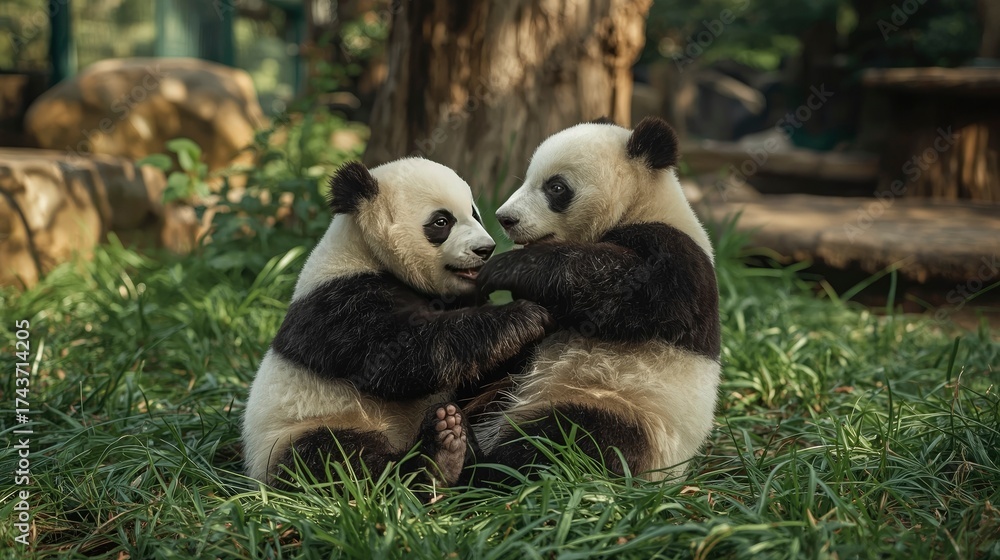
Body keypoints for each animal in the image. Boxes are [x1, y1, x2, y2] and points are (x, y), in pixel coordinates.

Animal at [241, 157, 553, 489]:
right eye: (441, 222)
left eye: (474, 213)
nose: (485, 249)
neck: (365, 253)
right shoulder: (339, 303)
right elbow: (396, 357)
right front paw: (524, 316)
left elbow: (473, 374)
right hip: (301, 429)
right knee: (336, 461)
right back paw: (438, 458)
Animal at [472, 116, 720, 481]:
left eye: (556, 187)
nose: (506, 218)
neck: (642, 205)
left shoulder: (679, 259)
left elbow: (630, 289)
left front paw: (506, 268)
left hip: (623, 410)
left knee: (564, 441)